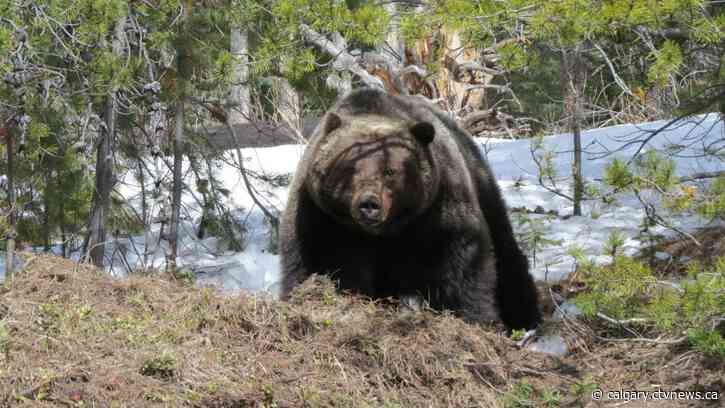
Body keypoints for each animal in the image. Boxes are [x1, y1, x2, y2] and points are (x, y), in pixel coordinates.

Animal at [279, 88, 541, 331]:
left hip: (481, 185)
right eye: (350, 168)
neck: (384, 232)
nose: (369, 205)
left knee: (505, 251)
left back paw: (526, 316)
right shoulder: (323, 220)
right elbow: (321, 265)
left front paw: (477, 319)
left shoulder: (438, 210)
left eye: (390, 171)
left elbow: (462, 265)